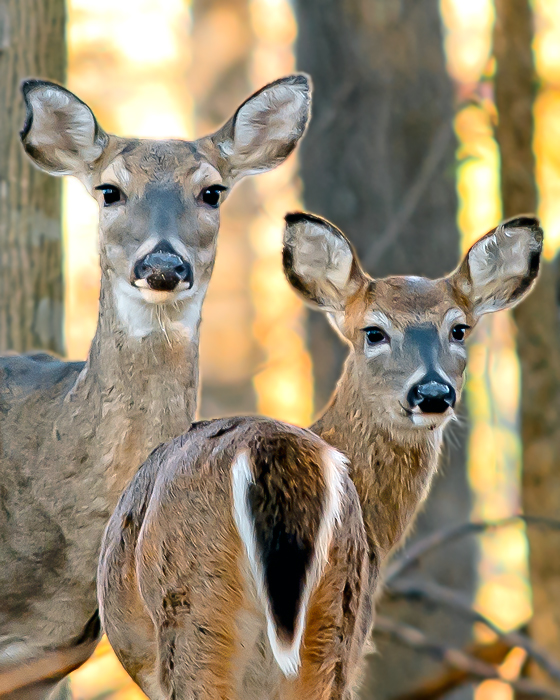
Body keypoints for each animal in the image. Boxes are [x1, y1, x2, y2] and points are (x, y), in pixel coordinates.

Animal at [96, 211, 544, 696]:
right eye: (374, 332)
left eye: (458, 329)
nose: (431, 393)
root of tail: (275, 449)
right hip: (325, 607)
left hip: (218, 606)